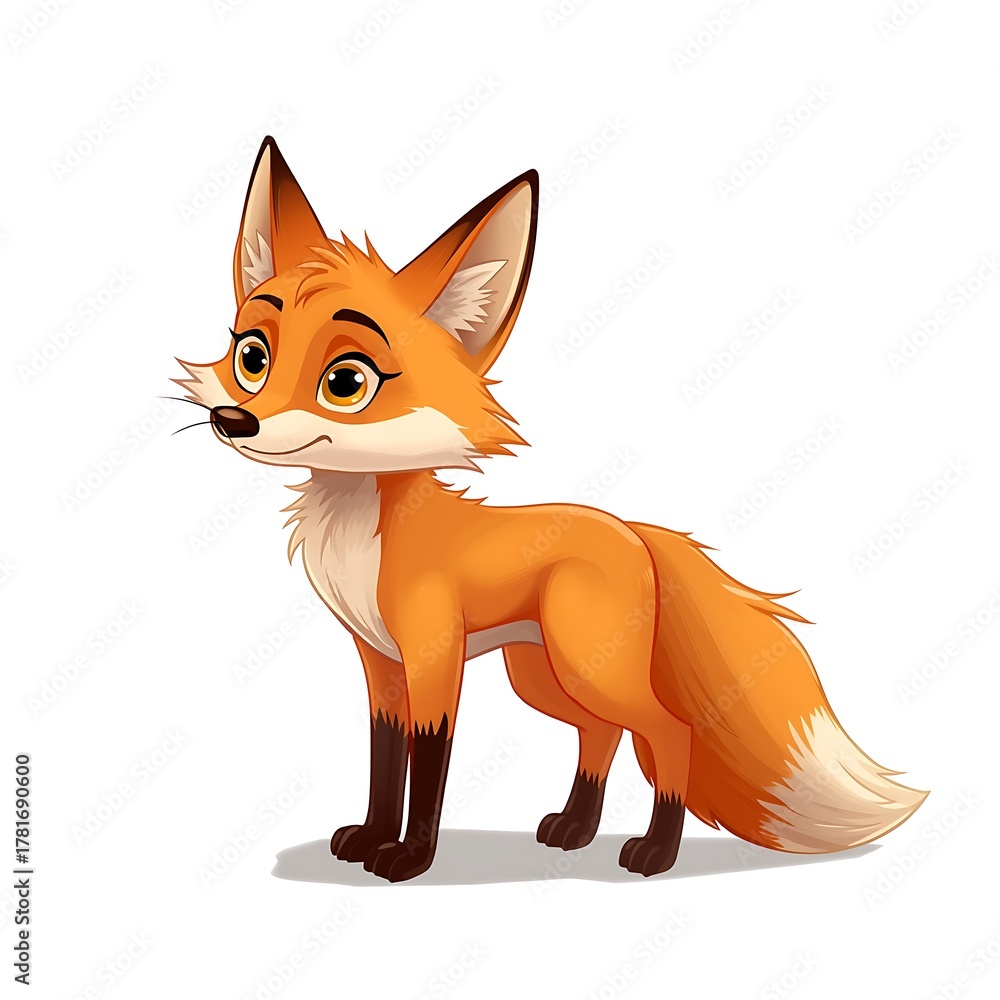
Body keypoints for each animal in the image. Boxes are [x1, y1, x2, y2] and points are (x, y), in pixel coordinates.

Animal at [174, 136, 927, 882]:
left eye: (346, 382)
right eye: (252, 357)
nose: (235, 420)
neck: (362, 537)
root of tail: (633, 532)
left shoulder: (433, 659)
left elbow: (430, 760)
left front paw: (410, 857)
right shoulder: (380, 664)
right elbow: (384, 761)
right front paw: (370, 837)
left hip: (584, 666)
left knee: (666, 730)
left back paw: (654, 853)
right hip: (543, 675)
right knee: (603, 732)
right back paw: (575, 828)